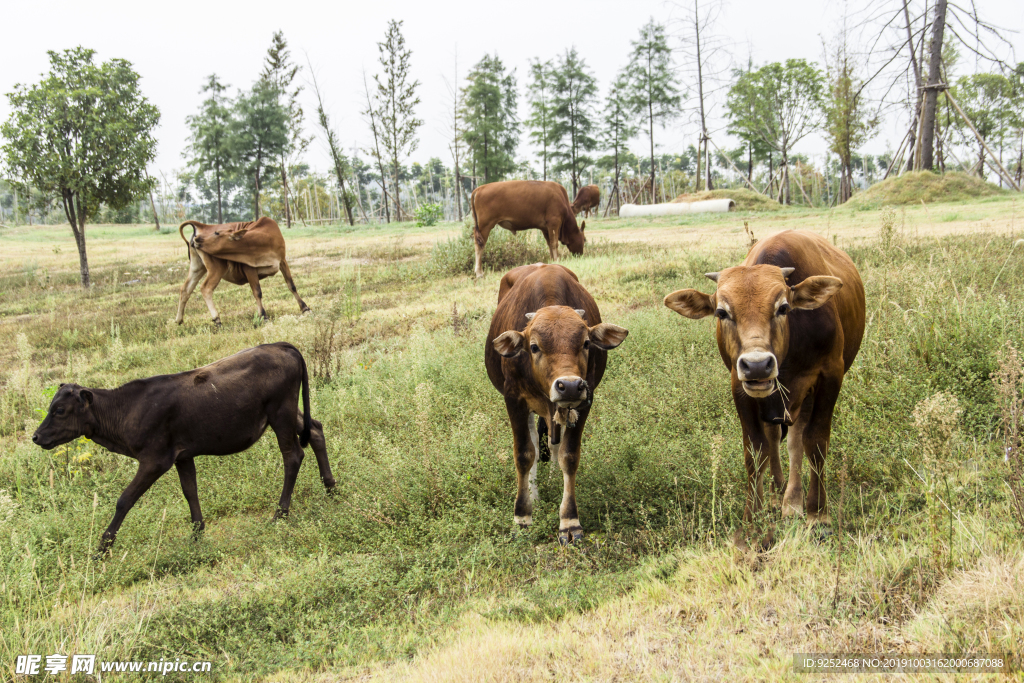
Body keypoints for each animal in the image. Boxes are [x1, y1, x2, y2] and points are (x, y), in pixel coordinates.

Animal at [32, 344, 333, 552]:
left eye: (59, 410)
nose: (36, 436)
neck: (126, 410)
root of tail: (281, 345)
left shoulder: (155, 460)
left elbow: (124, 499)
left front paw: (102, 547)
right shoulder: (183, 456)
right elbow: (190, 491)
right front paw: (197, 533)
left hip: (280, 412)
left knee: (292, 456)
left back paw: (280, 514)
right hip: (288, 413)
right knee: (316, 431)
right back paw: (331, 488)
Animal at [175, 218, 307, 327]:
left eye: (217, 233)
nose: (197, 240)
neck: (262, 238)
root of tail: (200, 226)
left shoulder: (282, 261)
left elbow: (291, 285)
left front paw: (305, 308)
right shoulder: (249, 267)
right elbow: (257, 292)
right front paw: (263, 316)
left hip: (197, 268)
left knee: (185, 289)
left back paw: (179, 320)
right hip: (216, 269)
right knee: (205, 288)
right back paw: (217, 319)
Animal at [485, 264, 626, 544]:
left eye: (586, 343)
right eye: (534, 346)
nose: (569, 385)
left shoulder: (584, 401)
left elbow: (568, 456)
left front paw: (569, 522)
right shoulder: (514, 400)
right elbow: (524, 454)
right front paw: (522, 516)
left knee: (553, 443)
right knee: (535, 444)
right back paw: (535, 494)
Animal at [663, 229, 864, 532]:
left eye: (783, 307)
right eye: (721, 312)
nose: (757, 365)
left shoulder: (830, 376)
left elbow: (815, 441)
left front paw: (818, 513)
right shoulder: (740, 387)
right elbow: (757, 451)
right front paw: (752, 516)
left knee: (796, 440)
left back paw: (793, 501)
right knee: (775, 438)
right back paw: (777, 496)